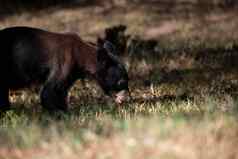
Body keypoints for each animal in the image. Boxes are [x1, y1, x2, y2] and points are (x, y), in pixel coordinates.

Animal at [0, 26, 129, 112]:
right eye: (121, 82)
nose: (125, 99)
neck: (81, 55)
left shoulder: (71, 74)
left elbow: (61, 92)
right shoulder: (63, 62)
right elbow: (49, 92)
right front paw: (62, 115)